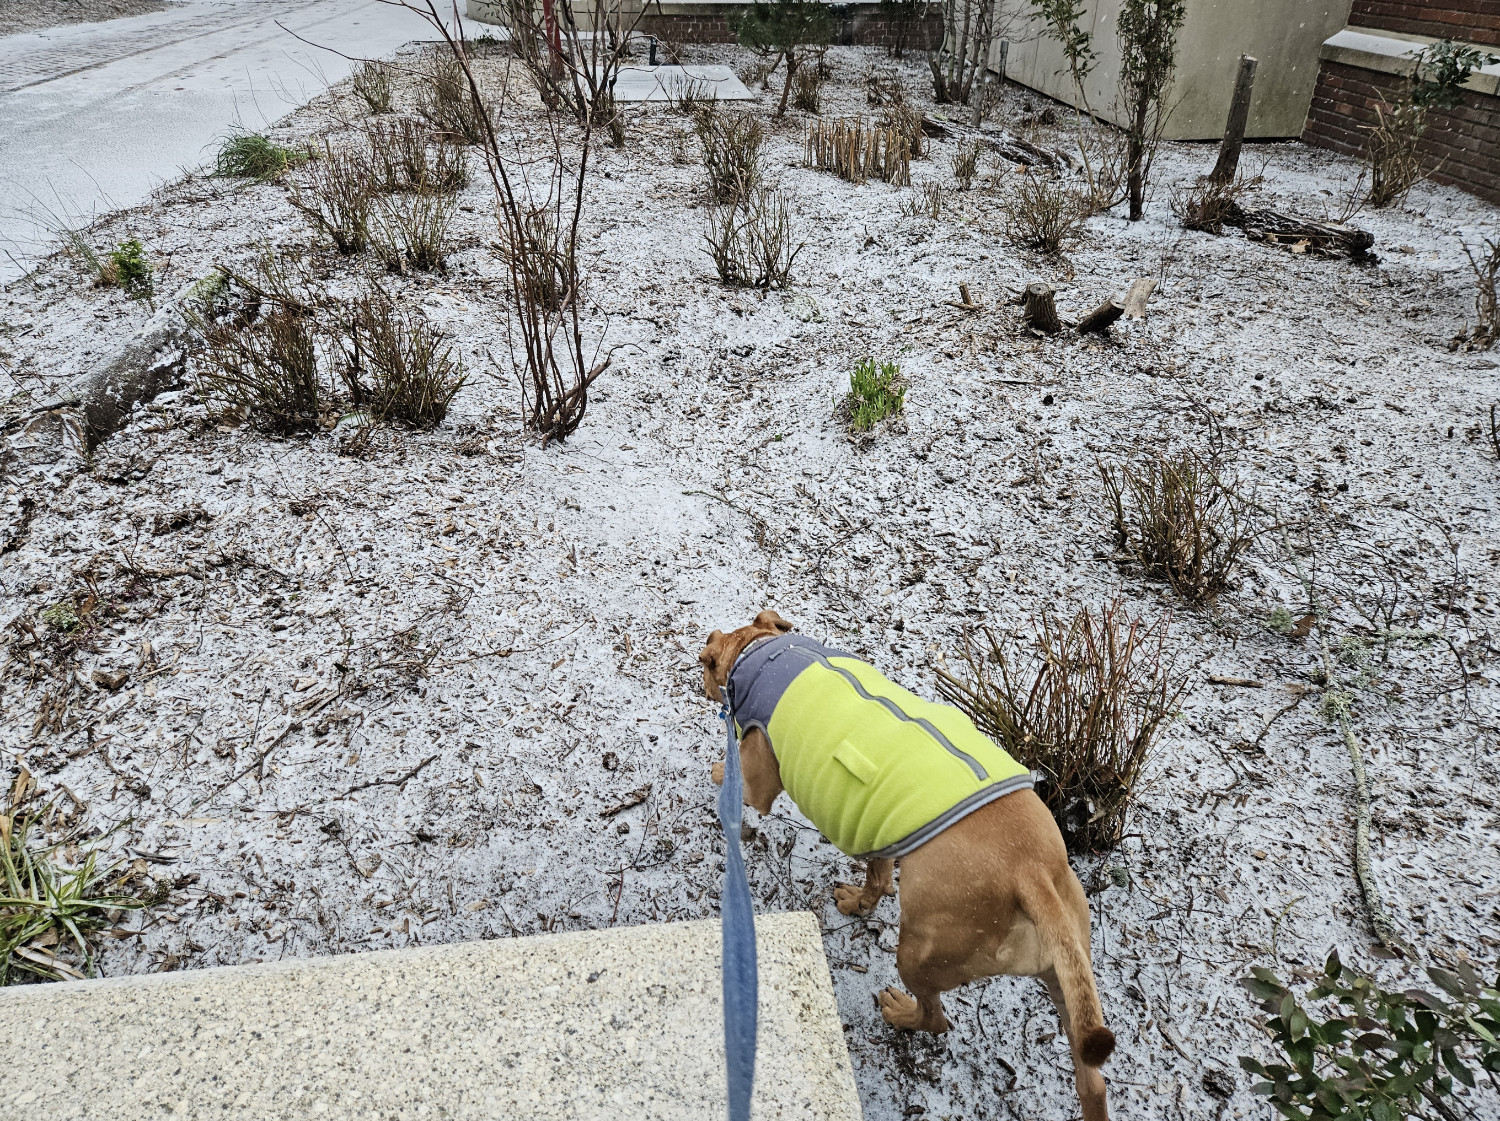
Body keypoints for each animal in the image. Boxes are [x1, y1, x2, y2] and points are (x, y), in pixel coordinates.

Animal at [702, 615, 1116, 1121]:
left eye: (704, 664)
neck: (761, 651)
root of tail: (1032, 872)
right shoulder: (877, 822)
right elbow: (878, 876)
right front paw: (861, 902)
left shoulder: (758, 784)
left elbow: (733, 779)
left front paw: (720, 776)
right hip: (1068, 977)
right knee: (1091, 1080)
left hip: (919, 954)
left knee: (937, 1019)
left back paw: (900, 1012)